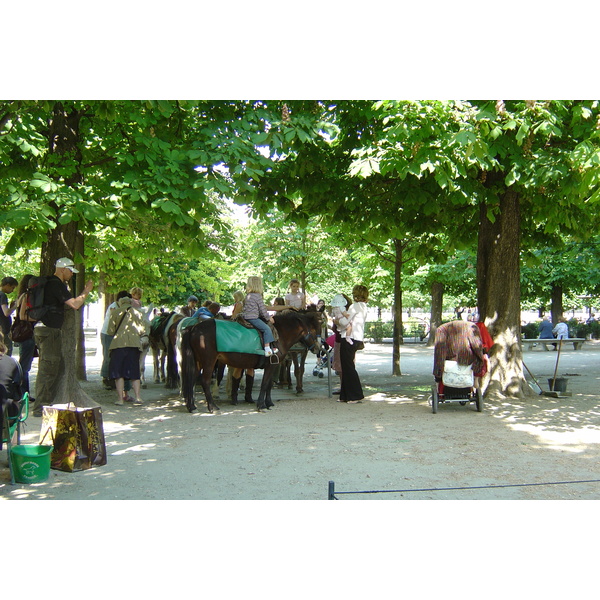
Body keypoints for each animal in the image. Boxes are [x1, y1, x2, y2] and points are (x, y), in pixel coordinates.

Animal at [179, 310, 324, 412]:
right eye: (313, 330)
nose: (319, 348)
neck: (279, 334)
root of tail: (194, 328)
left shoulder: (273, 366)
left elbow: (269, 384)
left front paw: (269, 403)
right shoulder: (270, 365)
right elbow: (265, 384)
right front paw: (261, 405)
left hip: (198, 362)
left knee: (192, 379)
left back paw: (191, 406)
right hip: (209, 362)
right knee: (204, 381)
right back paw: (212, 406)